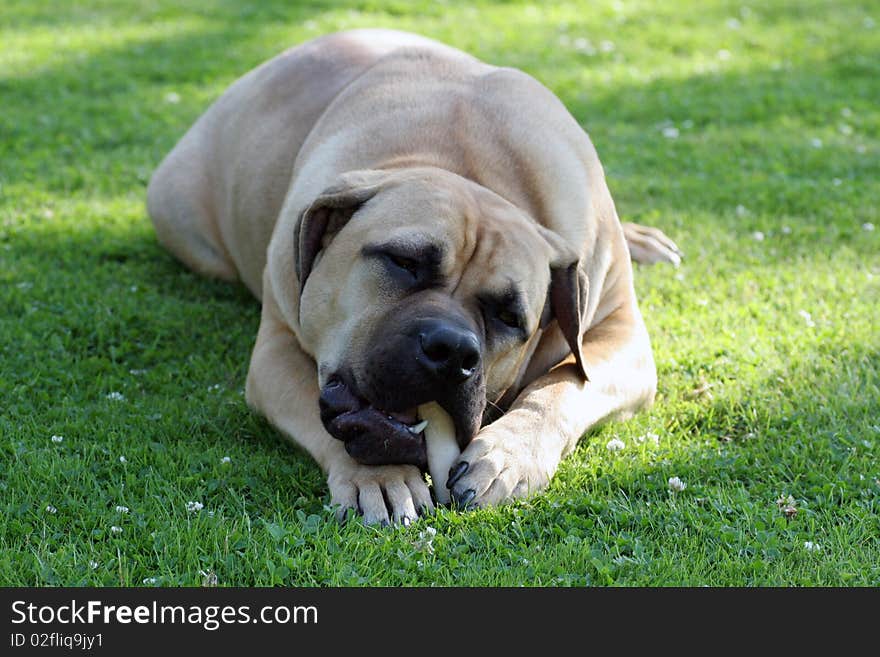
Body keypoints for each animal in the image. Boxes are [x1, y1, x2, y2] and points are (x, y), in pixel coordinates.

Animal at [148, 28, 680, 524]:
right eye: (403, 262)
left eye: (508, 316)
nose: (453, 351)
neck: (472, 167)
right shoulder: (275, 352)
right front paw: (380, 478)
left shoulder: (621, 332)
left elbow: (562, 386)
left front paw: (508, 458)